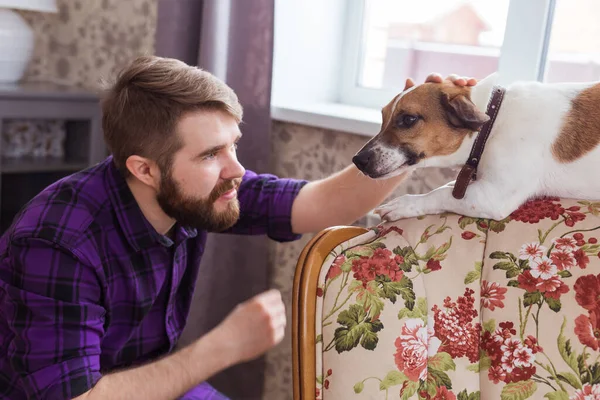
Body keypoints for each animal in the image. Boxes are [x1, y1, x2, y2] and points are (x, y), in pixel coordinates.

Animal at [352, 72, 600, 222]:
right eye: (383, 117)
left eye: (408, 119)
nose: (358, 160)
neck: (494, 120)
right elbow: (448, 187)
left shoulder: (493, 197)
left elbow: (441, 194)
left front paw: (405, 204)